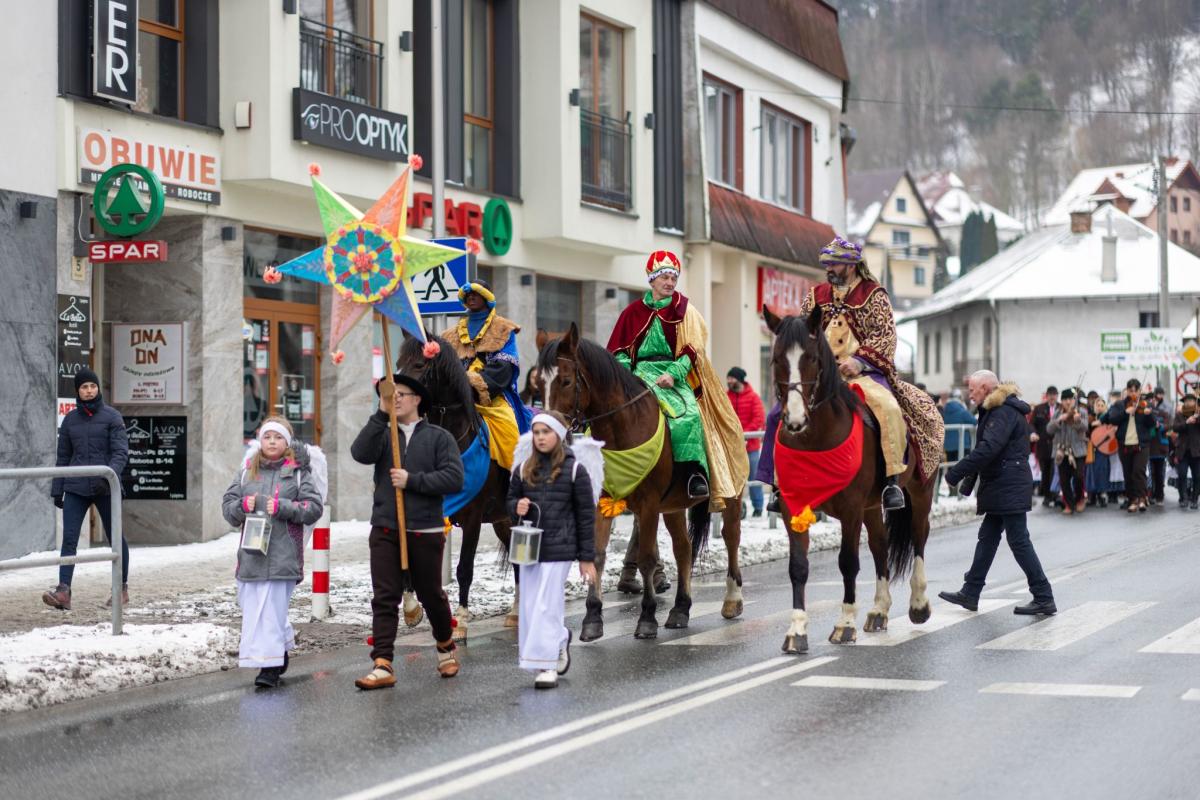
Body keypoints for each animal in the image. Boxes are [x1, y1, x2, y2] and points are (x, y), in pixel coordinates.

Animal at [394, 331, 516, 641]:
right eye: (399, 363)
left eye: (420, 365)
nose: (393, 397)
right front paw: (412, 610)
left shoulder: (473, 517)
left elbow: (464, 569)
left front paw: (459, 622)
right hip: (504, 520)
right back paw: (516, 613)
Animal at [538, 323, 745, 641]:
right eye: (538, 382)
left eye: (566, 381)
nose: (548, 433)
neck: (623, 426)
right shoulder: (601, 500)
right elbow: (597, 556)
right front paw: (592, 618)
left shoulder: (648, 506)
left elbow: (646, 559)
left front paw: (647, 618)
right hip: (673, 505)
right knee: (683, 549)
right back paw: (680, 610)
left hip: (731, 491)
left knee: (731, 536)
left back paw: (732, 600)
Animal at [764, 305, 936, 653]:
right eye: (777, 358)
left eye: (812, 357)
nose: (795, 419)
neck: (816, 437)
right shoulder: (792, 508)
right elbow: (798, 566)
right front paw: (797, 630)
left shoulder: (851, 508)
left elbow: (848, 562)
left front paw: (844, 625)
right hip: (873, 506)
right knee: (880, 545)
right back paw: (878, 611)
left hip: (921, 491)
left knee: (919, 537)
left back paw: (918, 604)